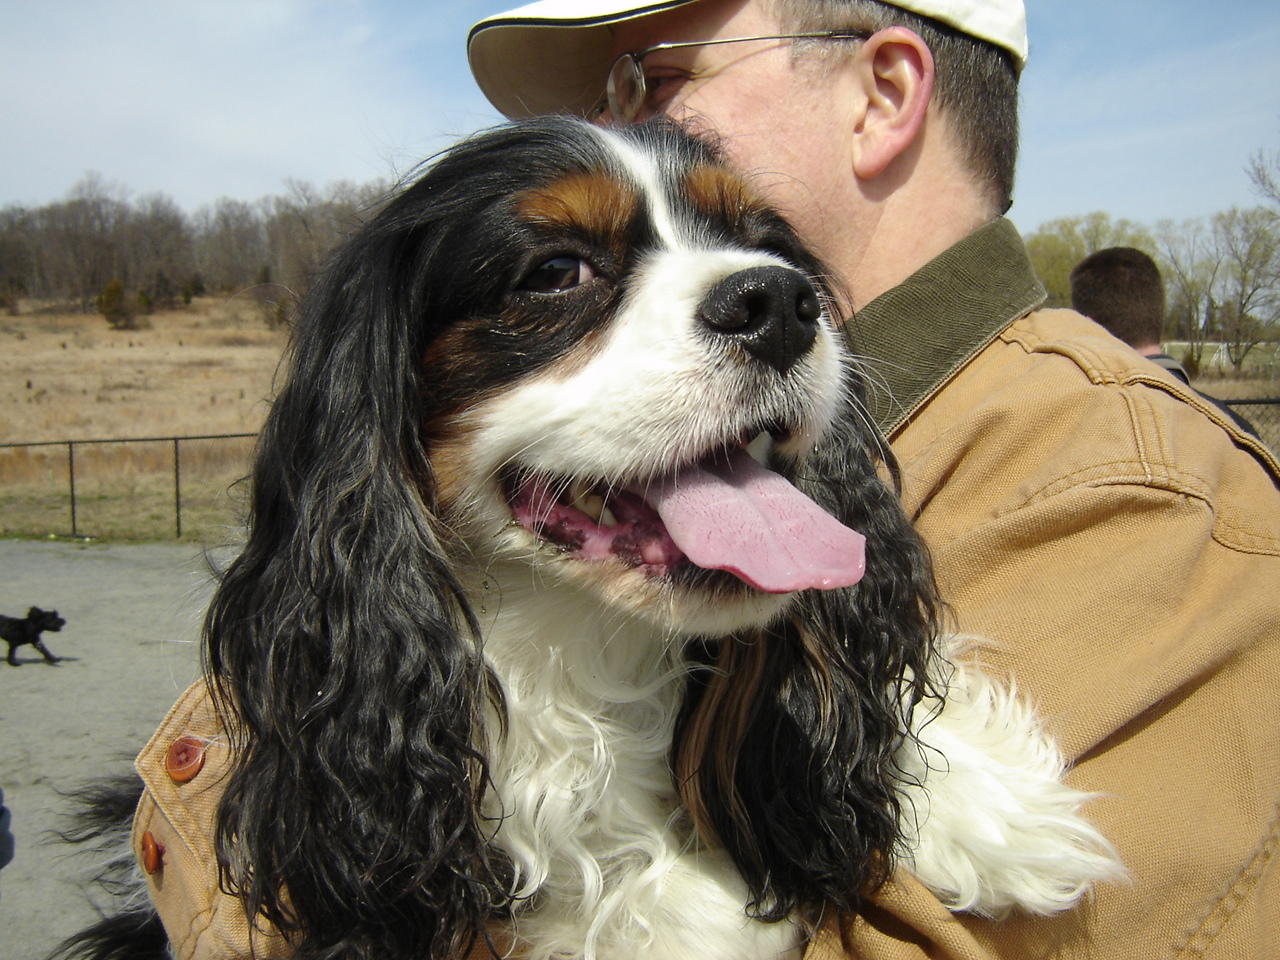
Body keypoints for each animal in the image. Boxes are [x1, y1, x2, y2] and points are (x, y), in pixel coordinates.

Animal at [54, 117, 1119, 960]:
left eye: (766, 244)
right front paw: (684, 913)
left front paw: (985, 801)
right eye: (555, 271)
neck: (578, 634)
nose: (779, 301)